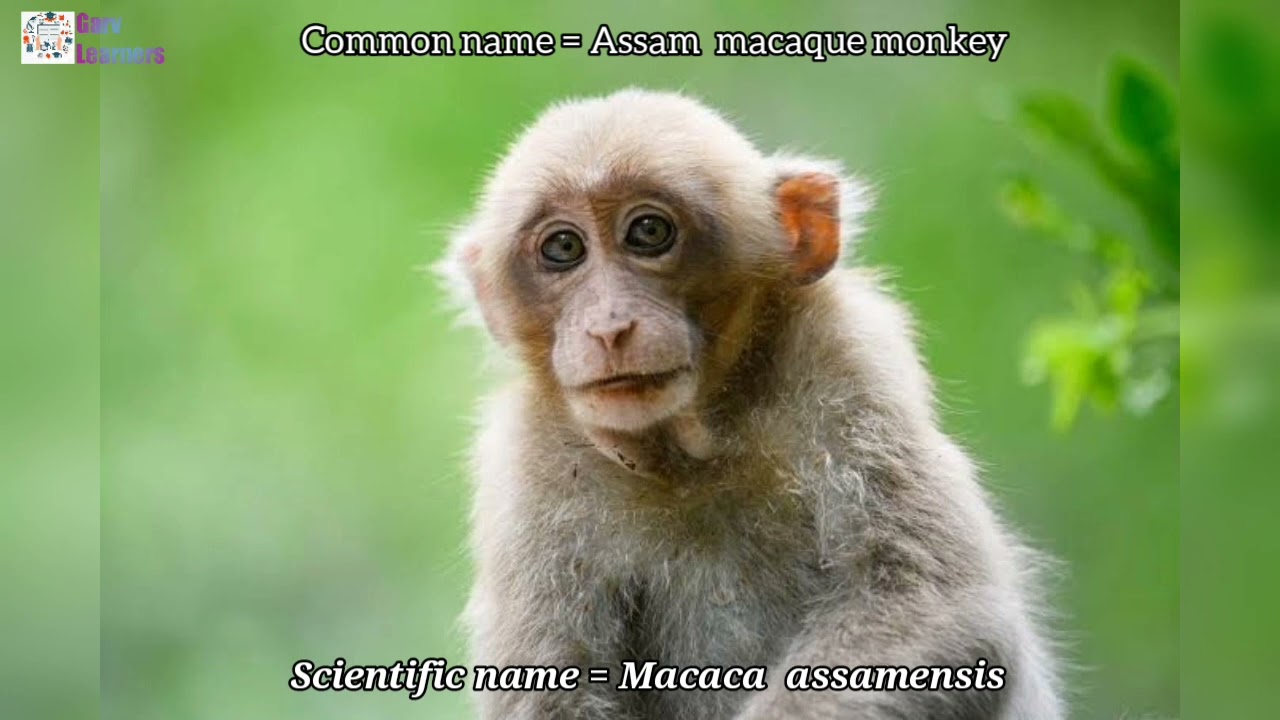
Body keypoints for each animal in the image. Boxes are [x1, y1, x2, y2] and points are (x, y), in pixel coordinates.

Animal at [438, 89, 1064, 720]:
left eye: (648, 231)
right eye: (563, 247)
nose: (610, 327)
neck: (689, 453)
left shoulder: (844, 357)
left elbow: (934, 605)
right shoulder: (528, 464)